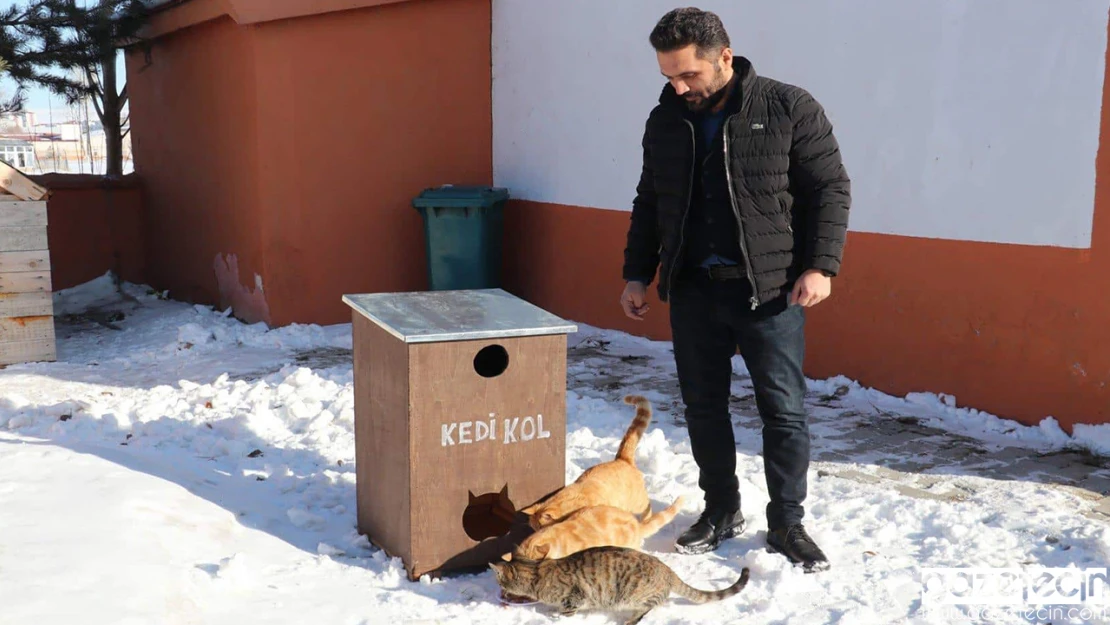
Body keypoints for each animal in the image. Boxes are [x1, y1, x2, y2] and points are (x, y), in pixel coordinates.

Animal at [490, 546, 750, 621]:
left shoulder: (577, 595)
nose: (500, 592)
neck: (535, 572)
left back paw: (630, 620)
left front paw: (558, 616)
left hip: (633, 594)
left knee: (649, 606)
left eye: (500, 583)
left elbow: (568, 608)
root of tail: (668, 570)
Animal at [523, 395, 652, 528]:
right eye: (533, 528)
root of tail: (622, 459)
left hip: (638, 503)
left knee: (648, 506)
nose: (535, 532)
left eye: (540, 528)